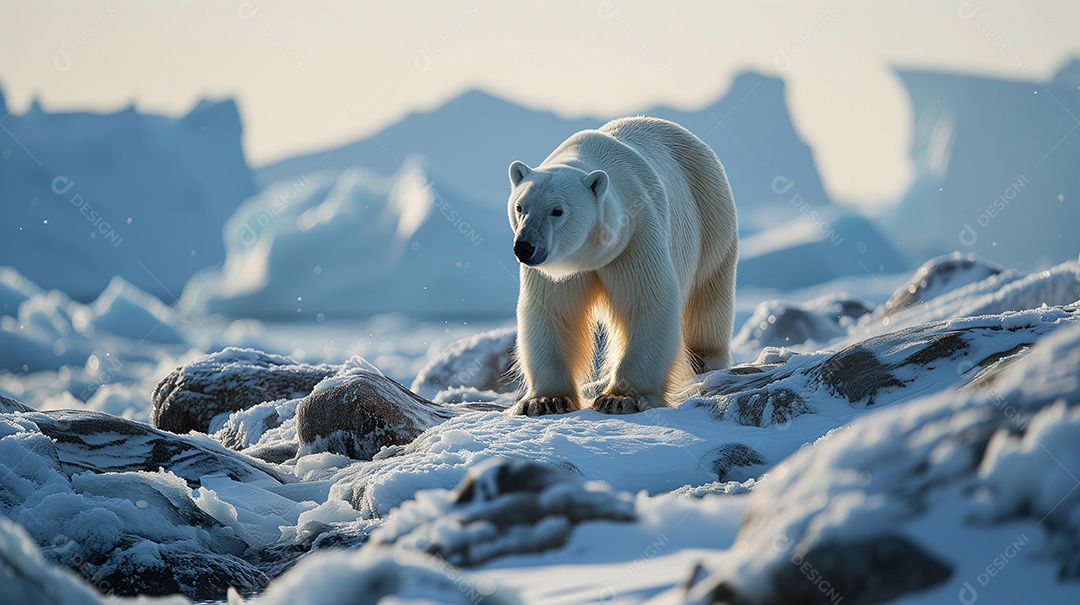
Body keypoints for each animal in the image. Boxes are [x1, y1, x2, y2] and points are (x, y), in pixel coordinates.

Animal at [506, 116, 738, 416]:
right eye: (520, 206)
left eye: (557, 211)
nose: (525, 246)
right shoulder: (555, 271)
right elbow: (552, 312)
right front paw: (546, 401)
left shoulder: (635, 237)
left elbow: (647, 302)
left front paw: (620, 398)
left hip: (711, 214)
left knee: (709, 288)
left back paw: (703, 357)